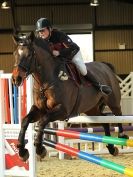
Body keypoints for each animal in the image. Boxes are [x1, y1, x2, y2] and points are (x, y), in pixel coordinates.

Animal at [12, 31, 128, 161]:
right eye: (15, 54)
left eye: (29, 55)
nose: (16, 79)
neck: (46, 81)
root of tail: (106, 66)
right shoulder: (39, 109)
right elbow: (25, 121)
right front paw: (22, 151)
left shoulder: (63, 110)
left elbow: (43, 121)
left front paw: (40, 149)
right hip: (91, 109)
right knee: (105, 121)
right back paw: (111, 147)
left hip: (113, 102)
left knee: (118, 115)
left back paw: (122, 136)